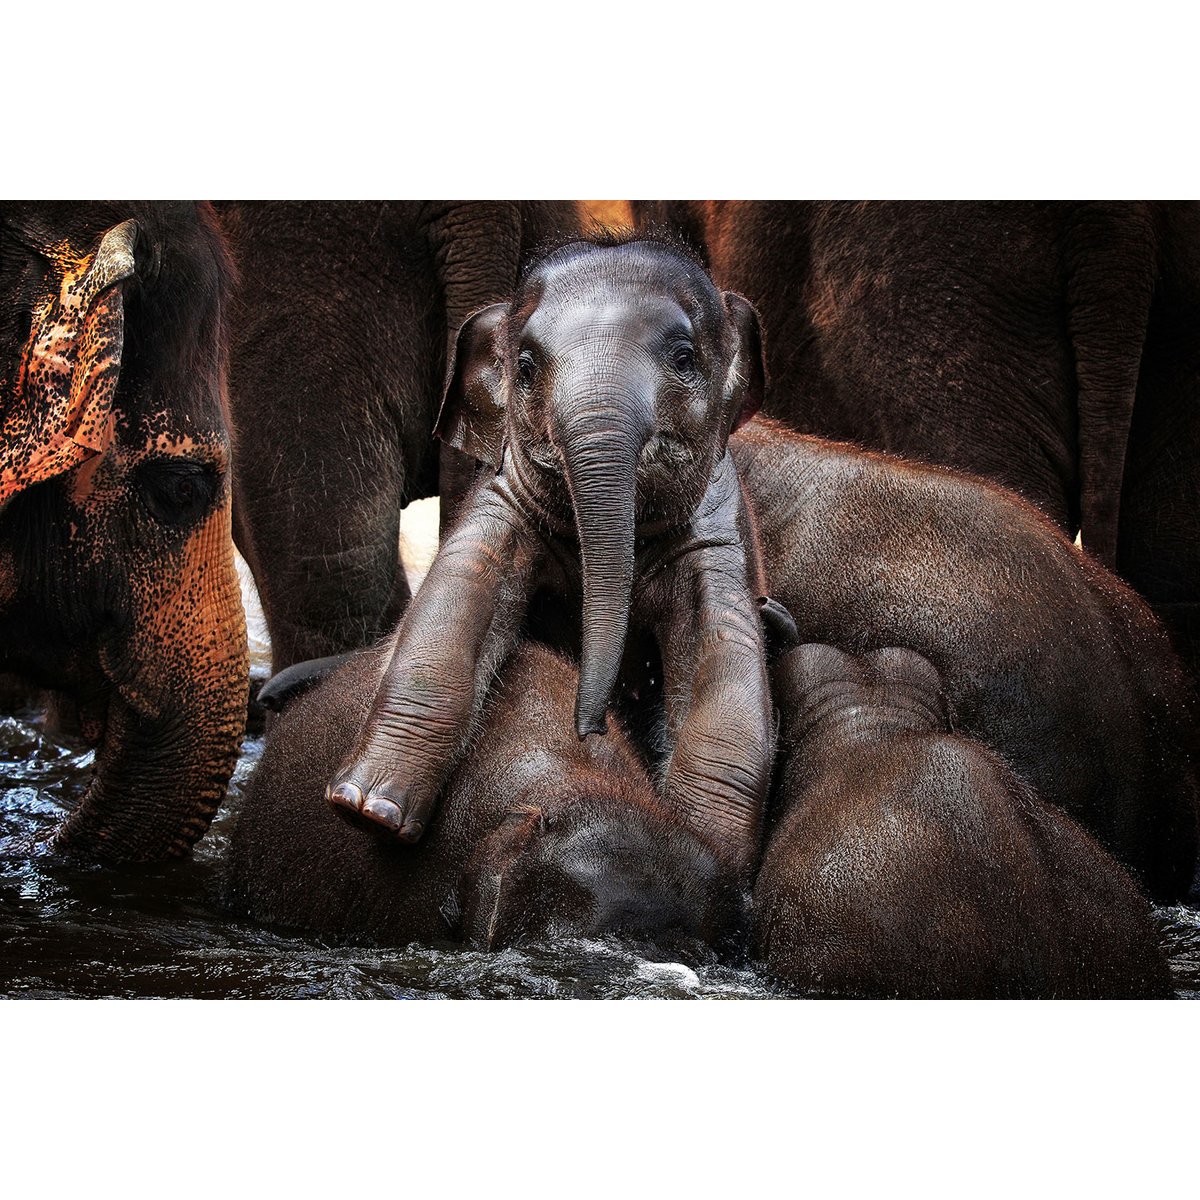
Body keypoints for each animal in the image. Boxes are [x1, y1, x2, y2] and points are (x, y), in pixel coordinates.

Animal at [324, 234, 778, 876]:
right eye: (526, 366)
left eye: (685, 357)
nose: (589, 727)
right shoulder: (503, 499)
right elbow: (457, 594)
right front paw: (367, 811)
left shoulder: (717, 535)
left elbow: (725, 661)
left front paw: (705, 853)